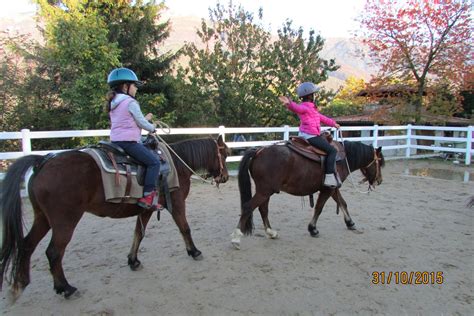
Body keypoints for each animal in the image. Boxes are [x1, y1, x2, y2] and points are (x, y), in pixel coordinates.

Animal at [0, 135, 230, 298]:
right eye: (225, 155)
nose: (226, 177)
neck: (175, 163)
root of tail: (43, 161)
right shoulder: (177, 202)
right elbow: (184, 227)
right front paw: (194, 251)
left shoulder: (146, 209)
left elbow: (138, 234)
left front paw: (133, 261)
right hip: (65, 220)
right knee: (54, 252)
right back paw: (65, 288)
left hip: (43, 218)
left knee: (27, 245)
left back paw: (21, 283)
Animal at [231, 139, 384, 248]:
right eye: (380, 162)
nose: (380, 180)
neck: (342, 158)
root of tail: (259, 151)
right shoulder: (327, 189)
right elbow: (319, 208)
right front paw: (313, 229)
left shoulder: (333, 188)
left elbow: (343, 203)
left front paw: (350, 223)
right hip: (265, 190)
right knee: (248, 207)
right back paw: (236, 237)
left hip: (265, 191)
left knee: (263, 209)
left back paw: (271, 232)